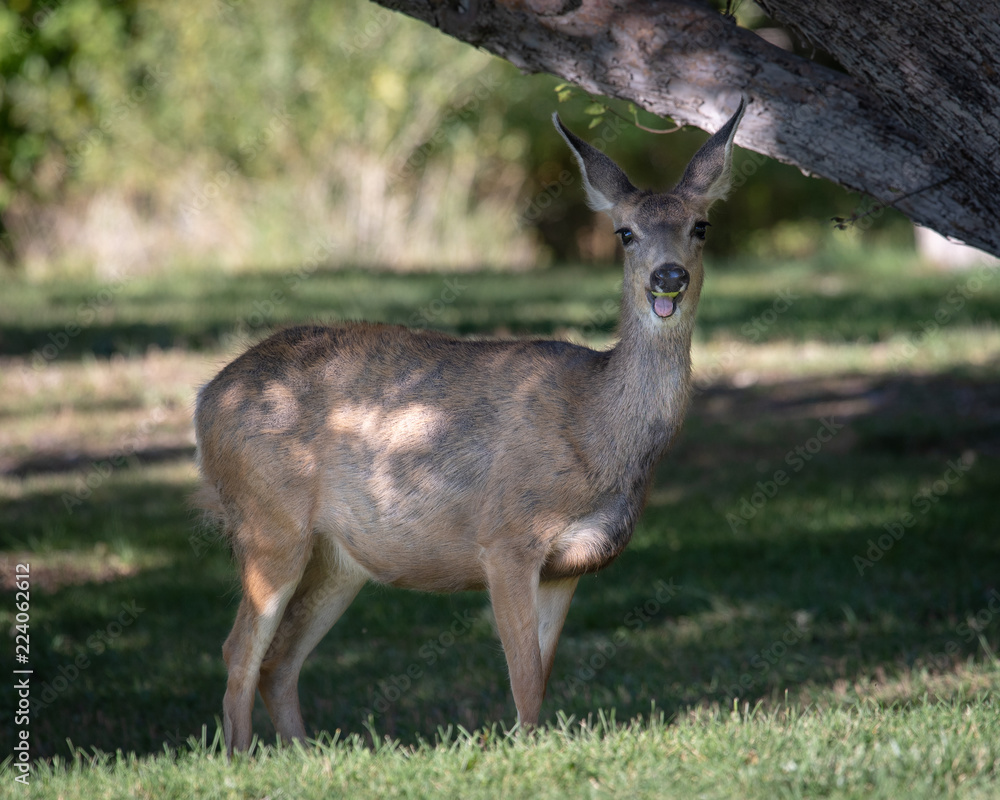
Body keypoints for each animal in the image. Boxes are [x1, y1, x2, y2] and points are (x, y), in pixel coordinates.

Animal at [194, 97, 746, 754]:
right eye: (626, 232)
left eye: (701, 226)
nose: (668, 278)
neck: (597, 430)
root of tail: (205, 399)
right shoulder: (505, 536)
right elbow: (524, 679)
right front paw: (526, 752)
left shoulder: (569, 566)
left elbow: (542, 672)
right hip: (268, 522)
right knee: (238, 650)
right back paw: (242, 758)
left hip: (338, 556)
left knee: (279, 660)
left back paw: (301, 754)